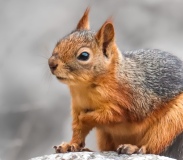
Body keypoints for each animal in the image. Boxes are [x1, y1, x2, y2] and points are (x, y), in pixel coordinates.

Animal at [47, 8, 183, 159]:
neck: (84, 88)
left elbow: (111, 115)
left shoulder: (132, 103)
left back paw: (134, 148)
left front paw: (86, 117)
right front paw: (70, 145)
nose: (51, 64)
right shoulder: (77, 106)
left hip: (172, 121)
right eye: (59, 43)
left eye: (84, 55)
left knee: (154, 146)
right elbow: (78, 130)